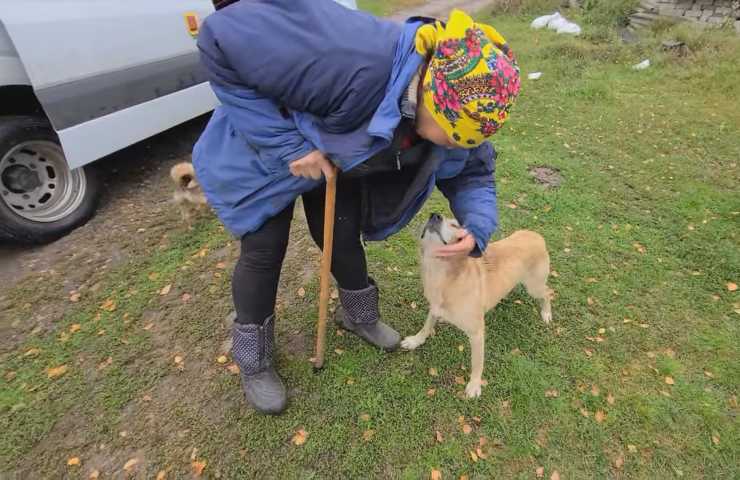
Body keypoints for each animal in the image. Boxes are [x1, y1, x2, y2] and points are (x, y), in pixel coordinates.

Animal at [402, 214, 552, 398]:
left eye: (455, 225)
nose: (435, 215)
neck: (443, 276)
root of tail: (536, 235)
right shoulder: (435, 307)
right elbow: (426, 326)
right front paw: (415, 341)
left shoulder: (477, 333)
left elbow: (477, 362)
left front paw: (474, 384)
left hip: (534, 287)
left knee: (548, 293)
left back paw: (546, 313)